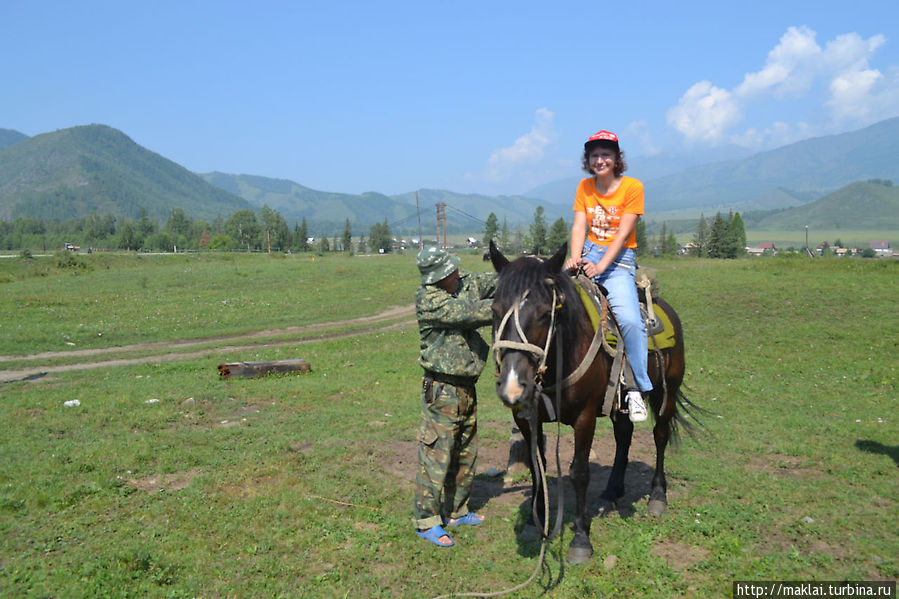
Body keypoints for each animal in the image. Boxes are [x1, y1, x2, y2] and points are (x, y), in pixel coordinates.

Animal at [492, 239, 696, 564]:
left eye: (545, 313)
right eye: (495, 309)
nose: (512, 386)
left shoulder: (584, 417)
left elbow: (579, 472)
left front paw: (580, 539)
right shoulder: (526, 418)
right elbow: (538, 466)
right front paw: (536, 523)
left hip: (667, 393)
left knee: (660, 435)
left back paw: (657, 497)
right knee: (624, 435)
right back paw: (612, 491)